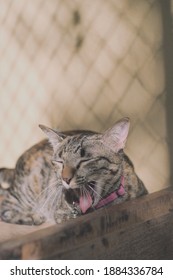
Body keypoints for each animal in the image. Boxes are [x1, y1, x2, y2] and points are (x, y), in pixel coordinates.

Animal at [0, 117, 147, 225]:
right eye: (60, 162)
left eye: (85, 160)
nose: (65, 178)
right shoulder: (60, 213)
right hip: (27, 190)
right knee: (4, 202)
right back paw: (31, 216)